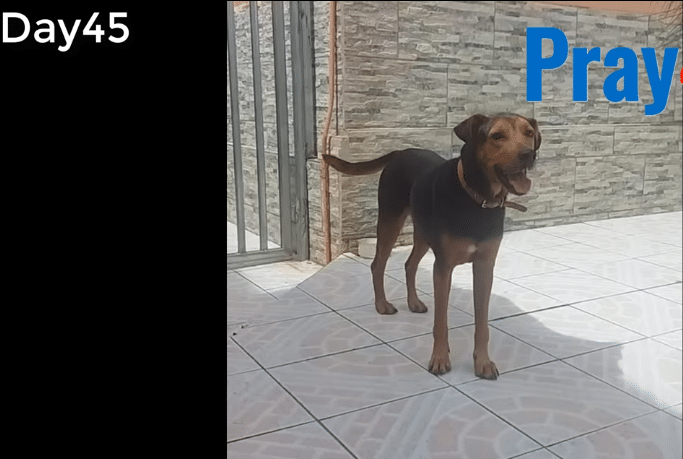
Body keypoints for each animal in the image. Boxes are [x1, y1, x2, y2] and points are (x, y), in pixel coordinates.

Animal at [323, 114, 541, 379]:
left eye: (529, 133)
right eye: (497, 136)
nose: (529, 155)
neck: (477, 200)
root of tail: (400, 152)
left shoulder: (484, 267)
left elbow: (482, 323)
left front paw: (483, 362)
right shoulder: (443, 267)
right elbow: (441, 322)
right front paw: (439, 359)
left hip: (423, 233)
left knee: (409, 264)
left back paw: (413, 302)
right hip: (390, 220)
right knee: (378, 264)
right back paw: (382, 305)